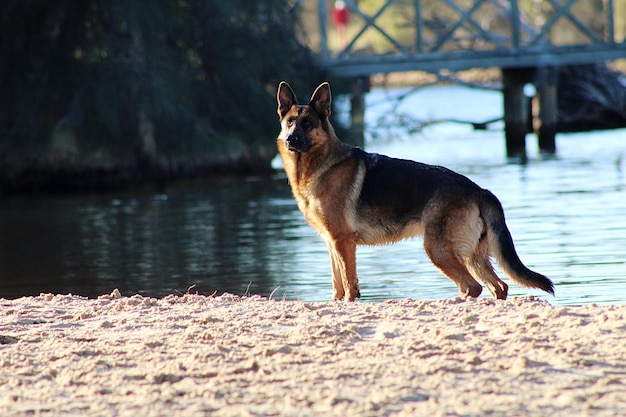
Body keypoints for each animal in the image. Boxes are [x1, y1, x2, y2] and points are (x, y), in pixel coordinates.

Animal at [276, 81, 552, 300]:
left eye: (308, 124)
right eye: (289, 122)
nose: (291, 140)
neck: (319, 165)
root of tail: (479, 189)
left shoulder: (342, 242)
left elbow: (349, 285)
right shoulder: (332, 243)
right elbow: (337, 286)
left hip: (438, 250)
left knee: (472, 287)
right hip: (472, 255)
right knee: (498, 287)